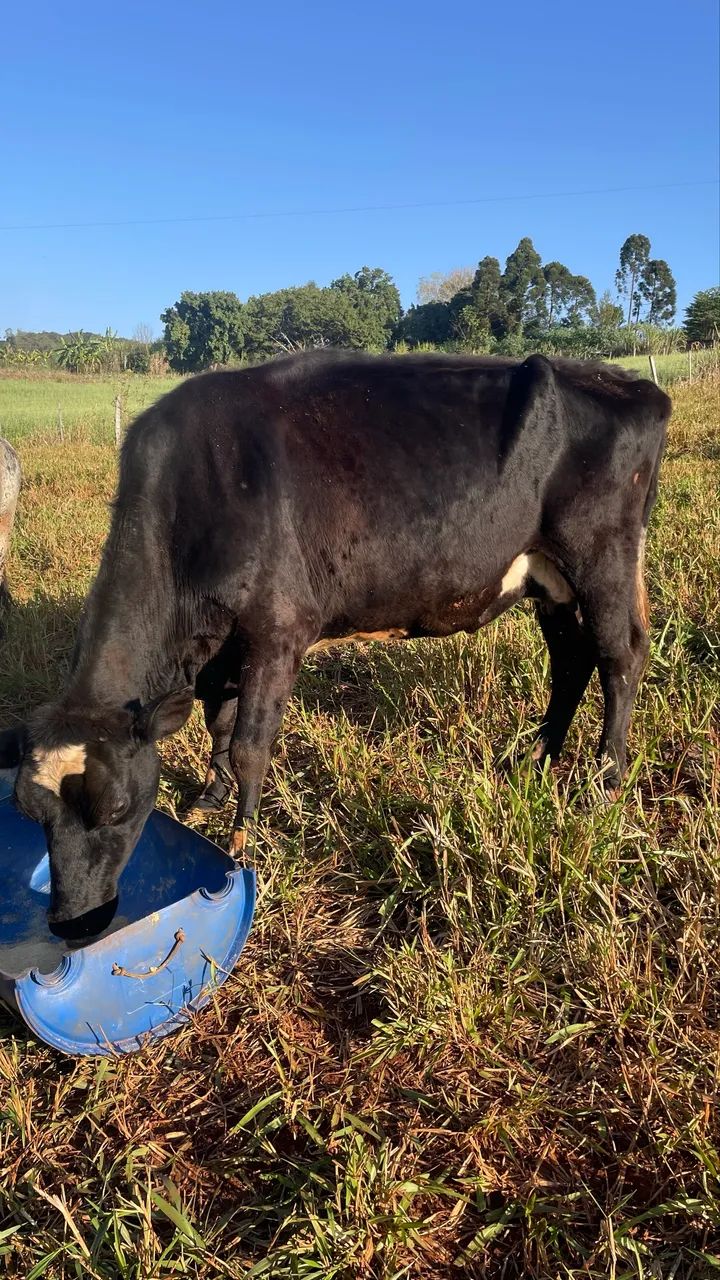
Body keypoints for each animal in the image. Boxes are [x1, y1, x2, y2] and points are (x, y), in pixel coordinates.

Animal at [0, 351, 670, 939]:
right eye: (32, 815)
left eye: (116, 809)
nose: (74, 924)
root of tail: (630, 384)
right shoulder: (224, 647)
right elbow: (218, 723)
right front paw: (210, 797)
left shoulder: (278, 630)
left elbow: (250, 744)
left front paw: (242, 843)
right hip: (547, 579)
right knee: (571, 660)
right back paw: (537, 758)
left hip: (601, 556)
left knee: (621, 656)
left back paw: (606, 779)